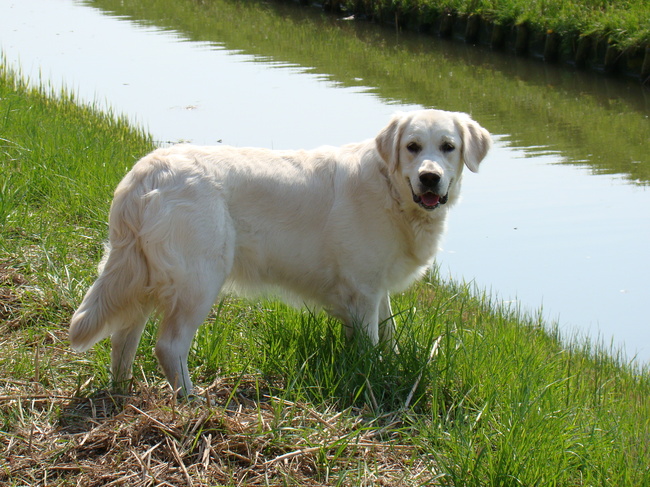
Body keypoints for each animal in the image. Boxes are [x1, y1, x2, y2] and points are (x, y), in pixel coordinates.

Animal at [69, 109, 491, 395]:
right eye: (412, 147)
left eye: (448, 148)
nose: (430, 178)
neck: (394, 192)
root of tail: (146, 172)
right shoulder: (362, 289)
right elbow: (371, 343)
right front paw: (372, 376)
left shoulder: (376, 288)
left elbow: (388, 333)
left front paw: (391, 364)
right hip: (199, 281)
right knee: (169, 346)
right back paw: (191, 401)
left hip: (142, 278)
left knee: (123, 338)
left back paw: (123, 390)